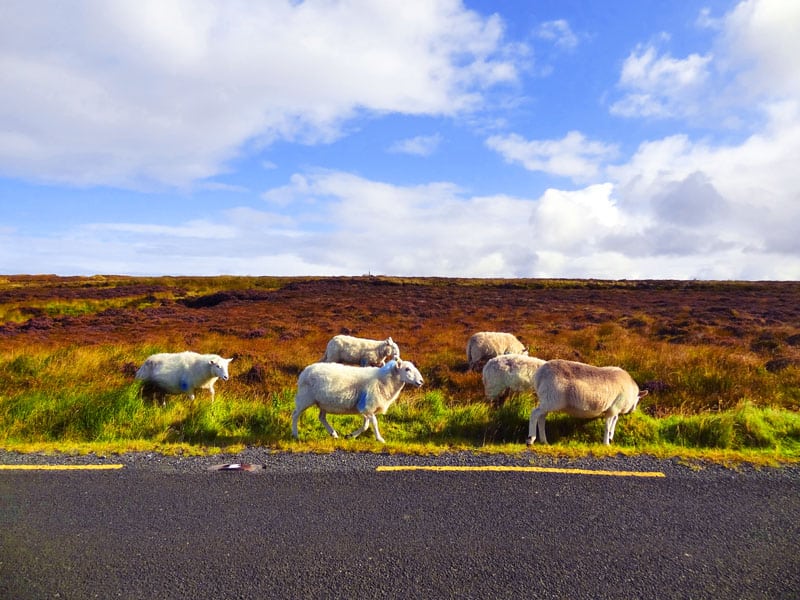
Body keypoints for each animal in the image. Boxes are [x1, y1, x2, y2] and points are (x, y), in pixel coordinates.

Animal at [290, 358, 422, 442]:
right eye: (407, 369)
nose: (421, 381)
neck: (384, 380)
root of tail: (305, 371)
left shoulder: (364, 407)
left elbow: (366, 426)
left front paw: (351, 436)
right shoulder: (369, 406)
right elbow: (374, 423)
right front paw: (380, 439)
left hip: (323, 403)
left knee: (321, 417)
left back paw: (333, 434)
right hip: (305, 398)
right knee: (295, 414)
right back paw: (295, 434)